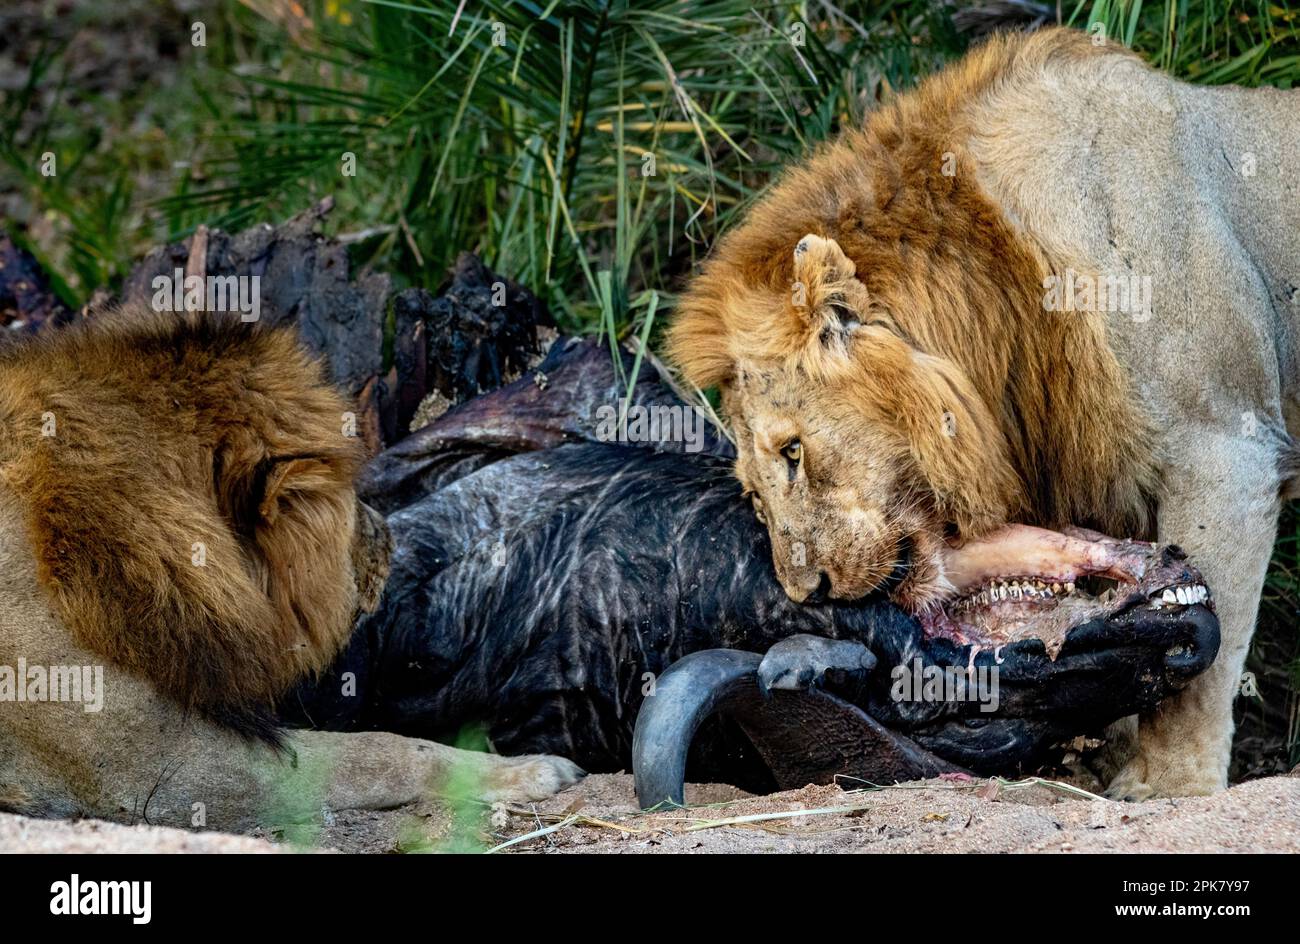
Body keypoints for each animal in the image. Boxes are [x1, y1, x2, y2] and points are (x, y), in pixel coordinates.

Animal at [670, 27, 1300, 800]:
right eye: (754, 493)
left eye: (793, 451)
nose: (809, 590)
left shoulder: (1226, 451)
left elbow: (1203, 653)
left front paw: (1168, 786)